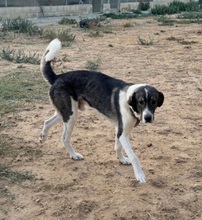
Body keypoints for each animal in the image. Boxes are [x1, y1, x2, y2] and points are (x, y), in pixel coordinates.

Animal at [39, 38, 164, 183]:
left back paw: (42, 137)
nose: (148, 118)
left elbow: (117, 146)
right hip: (71, 115)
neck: (129, 101)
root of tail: (58, 76)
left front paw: (121, 159)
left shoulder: (119, 131)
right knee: (64, 137)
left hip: (65, 112)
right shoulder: (123, 133)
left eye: (154, 102)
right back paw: (73, 155)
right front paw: (140, 175)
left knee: (47, 122)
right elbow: (134, 156)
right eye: (141, 102)